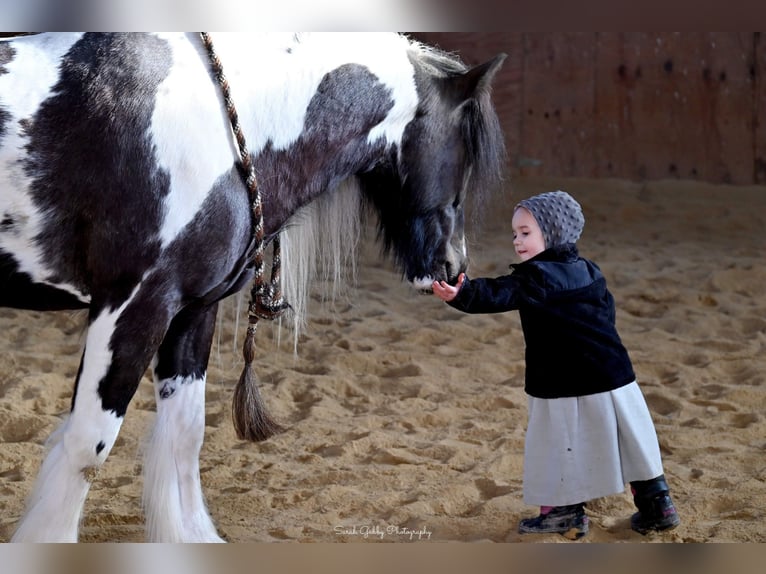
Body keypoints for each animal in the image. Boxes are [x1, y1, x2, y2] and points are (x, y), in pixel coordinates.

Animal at [0, 32, 508, 544]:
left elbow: (186, 435)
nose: (454, 268)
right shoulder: (133, 306)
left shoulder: (192, 311)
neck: (213, 121)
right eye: (463, 152)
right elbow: (88, 445)